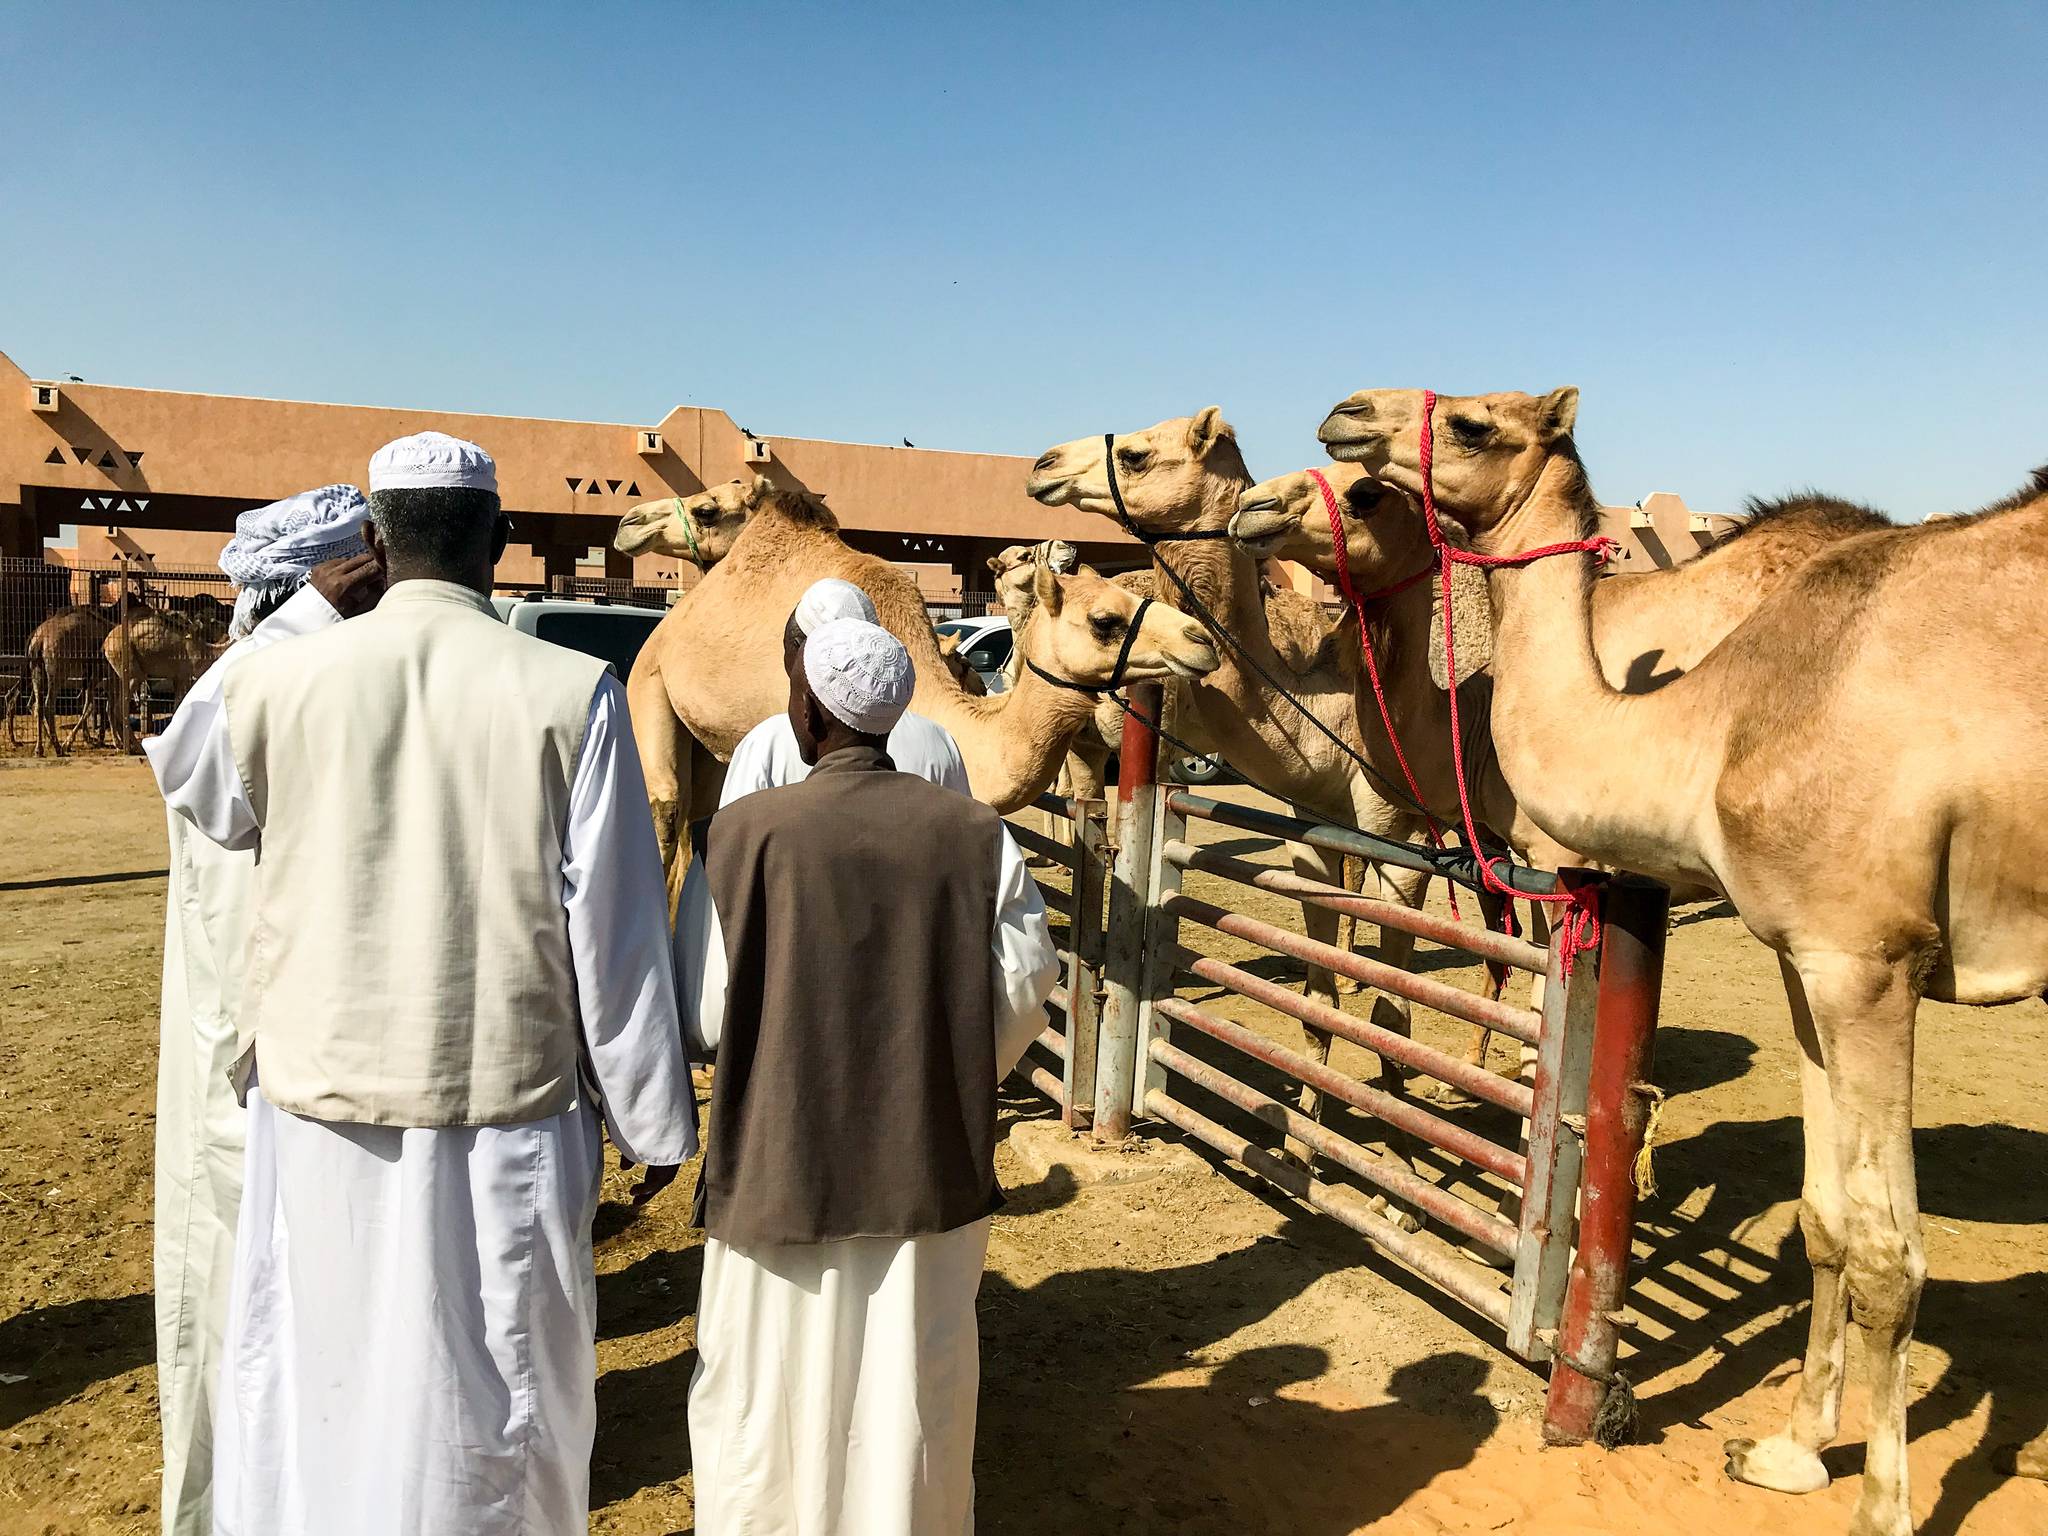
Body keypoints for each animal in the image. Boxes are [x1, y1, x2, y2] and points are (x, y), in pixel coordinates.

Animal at [1024, 411, 1441, 1187]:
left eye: (1136, 454)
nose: (1042, 464)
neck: (1320, 694)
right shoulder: (1316, 823)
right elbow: (1320, 996)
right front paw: (1302, 1152)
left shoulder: (1400, 826)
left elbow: (1392, 1007)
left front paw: (1396, 1182)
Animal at [1318, 385, 2048, 1536]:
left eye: (1476, 422)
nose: (1345, 413)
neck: (1719, 716)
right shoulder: (1800, 957)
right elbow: (1824, 1219)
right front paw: (1789, 1453)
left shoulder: (1867, 957)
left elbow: (1888, 1255)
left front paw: (1879, 1509)